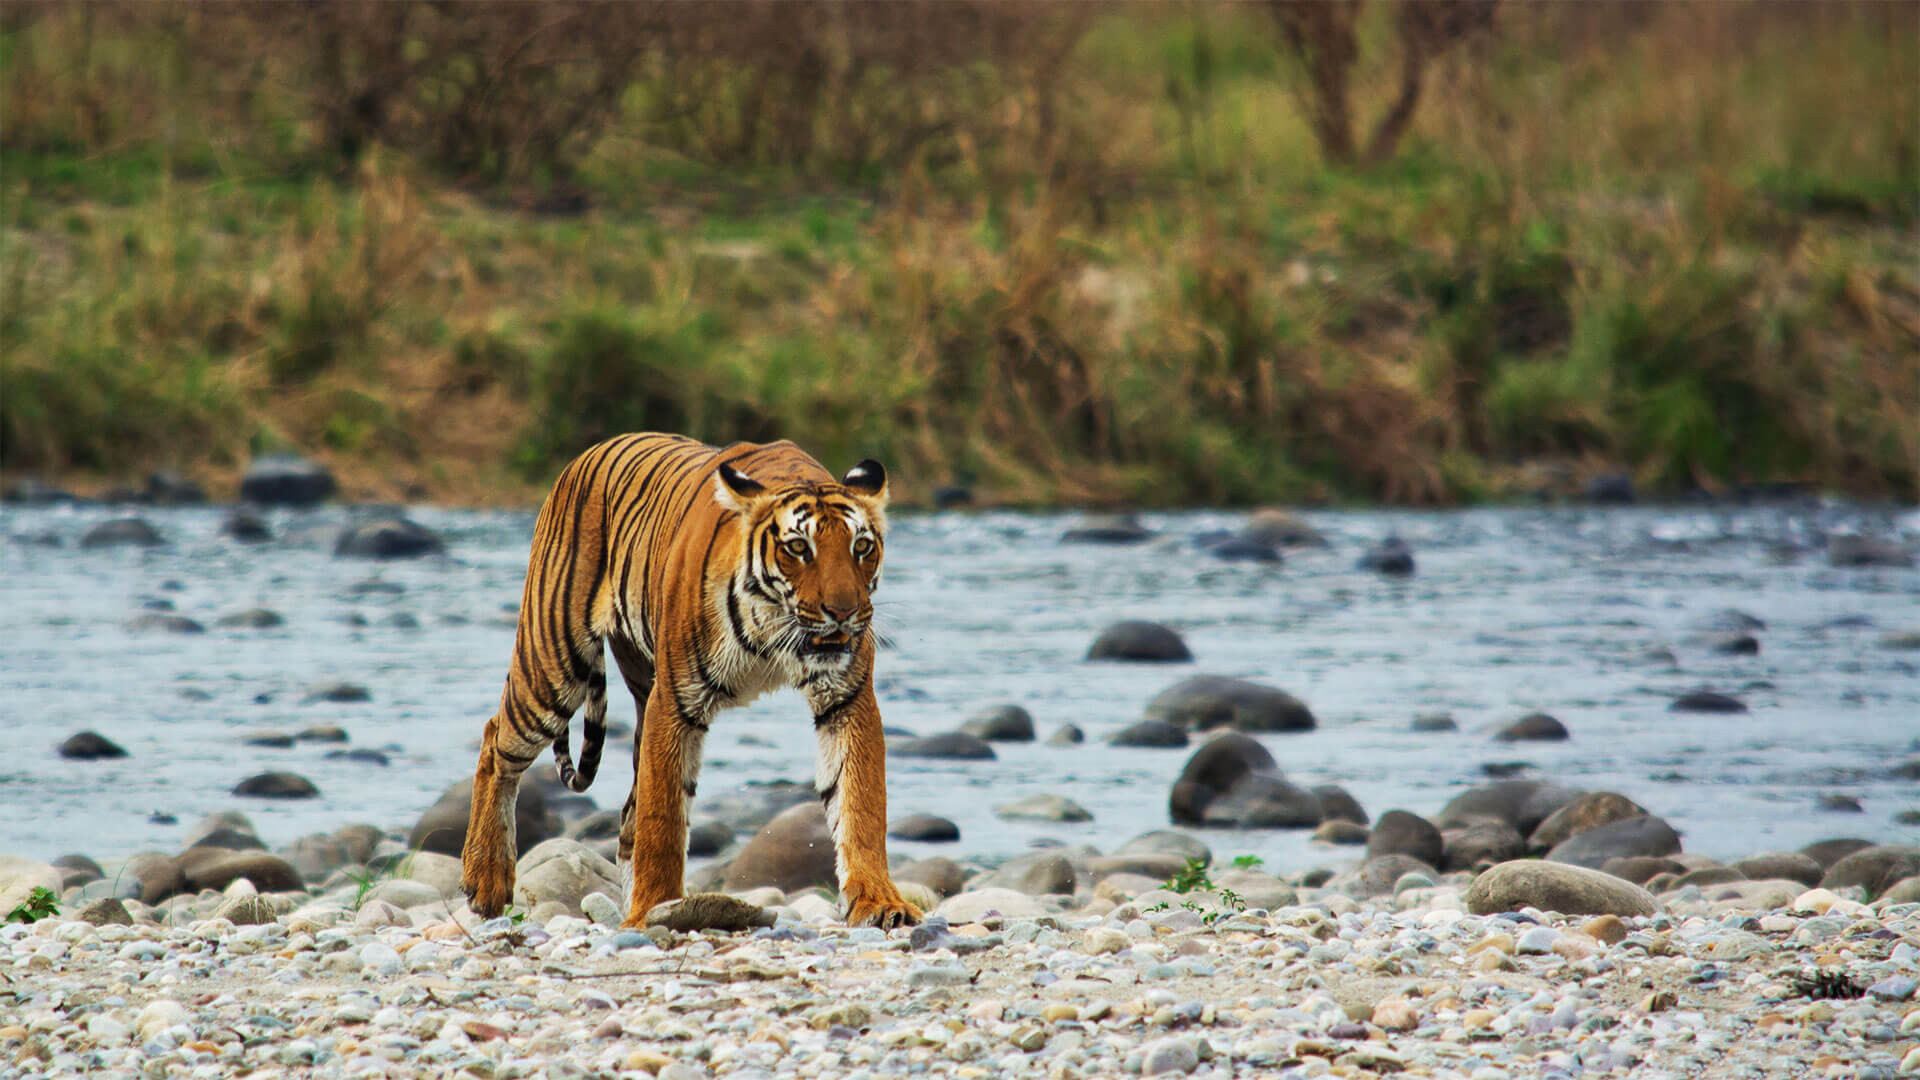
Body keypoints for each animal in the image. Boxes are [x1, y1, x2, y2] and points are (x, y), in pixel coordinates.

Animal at [456, 428, 921, 926]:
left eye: (862, 547)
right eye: (799, 548)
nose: (844, 612)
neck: (774, 628)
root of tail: (585, 455)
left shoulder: (846, 698)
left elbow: (860, 802)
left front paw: (879, 901)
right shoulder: (675, 700)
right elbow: (663, 820)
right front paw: (652, 910)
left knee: (627, 818)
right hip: (556, 664)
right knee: (496, 740)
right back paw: (485, 880)